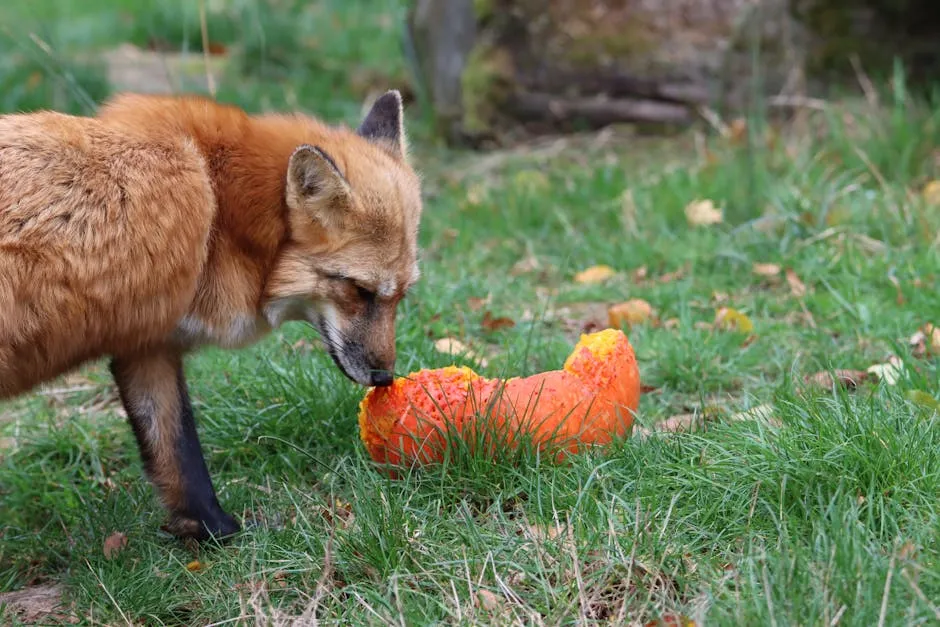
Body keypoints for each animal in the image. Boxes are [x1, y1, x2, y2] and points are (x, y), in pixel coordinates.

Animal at [0, 91, 422, 544]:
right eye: (360, 290)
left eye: (402, 294)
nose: (384, 378)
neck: (220, 209)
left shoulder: (146, 346)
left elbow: (179, 455)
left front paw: (213, 532)